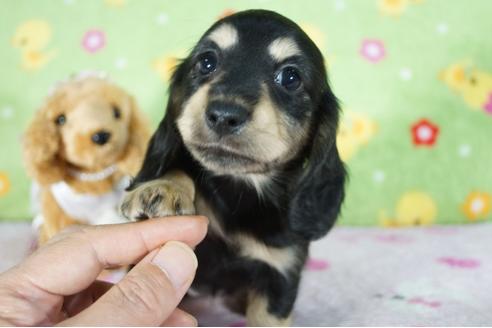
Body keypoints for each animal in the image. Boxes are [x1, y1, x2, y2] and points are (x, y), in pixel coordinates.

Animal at [122, 9, 346, 326]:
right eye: (207, 62)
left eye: (290, 78)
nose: (224, 115)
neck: (239, 190)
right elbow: (181, 168)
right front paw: (164, 187)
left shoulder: (280, 279)